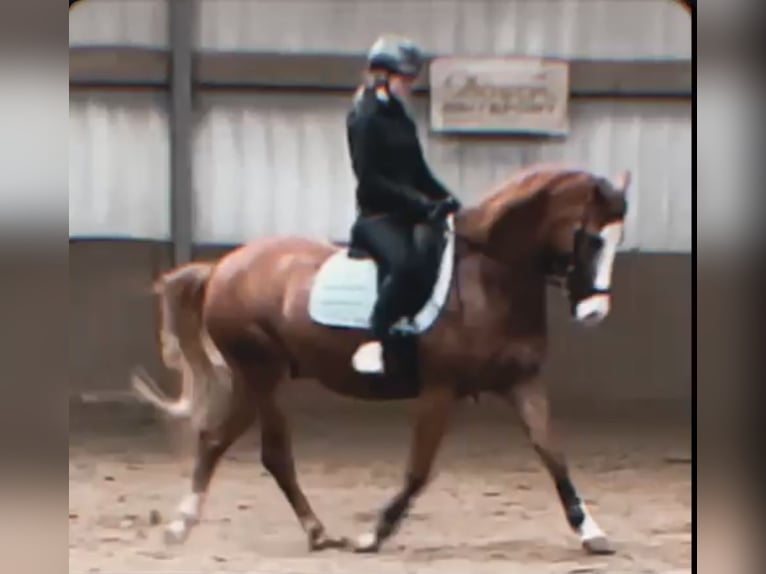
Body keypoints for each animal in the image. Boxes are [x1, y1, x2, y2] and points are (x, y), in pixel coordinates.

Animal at [132, 163, 631, 556]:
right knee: (271, 452)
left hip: (253, 377)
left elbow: (553, 455)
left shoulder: (521, 380)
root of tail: (221, 268)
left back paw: (190, 524)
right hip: (261, 373)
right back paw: (307, 531)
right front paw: (373, 535)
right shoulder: (440, 389)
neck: (491, 278)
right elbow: (419, 470)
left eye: (616, 242)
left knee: (216, 439)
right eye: (591, 240)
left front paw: (591, 532)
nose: (594, 312)